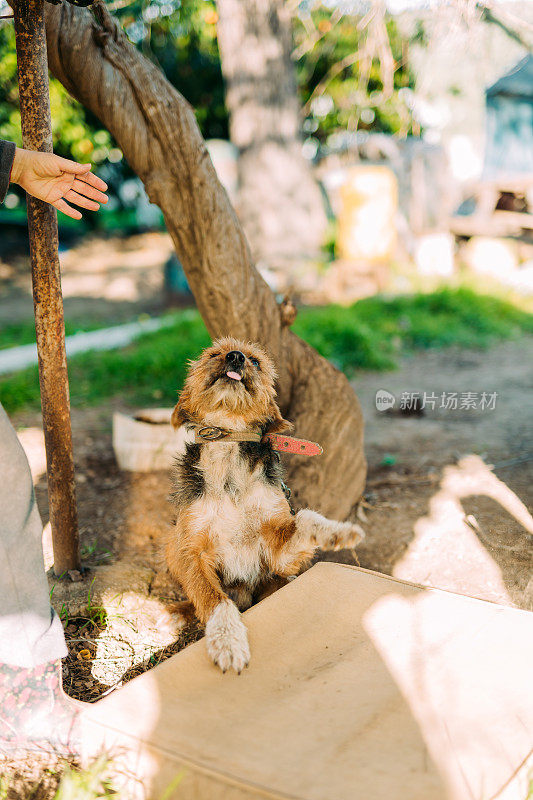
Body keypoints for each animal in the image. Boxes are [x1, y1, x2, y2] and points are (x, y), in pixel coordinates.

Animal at [168, 334, 364, 672]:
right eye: (213, 354)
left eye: (256, 361)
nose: (235, 357)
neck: (229, 444)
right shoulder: (191, 551)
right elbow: (214, 598)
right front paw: (227, 639)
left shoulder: (276, 554)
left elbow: (307, 518)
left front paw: (338, 531)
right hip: (169, 543)